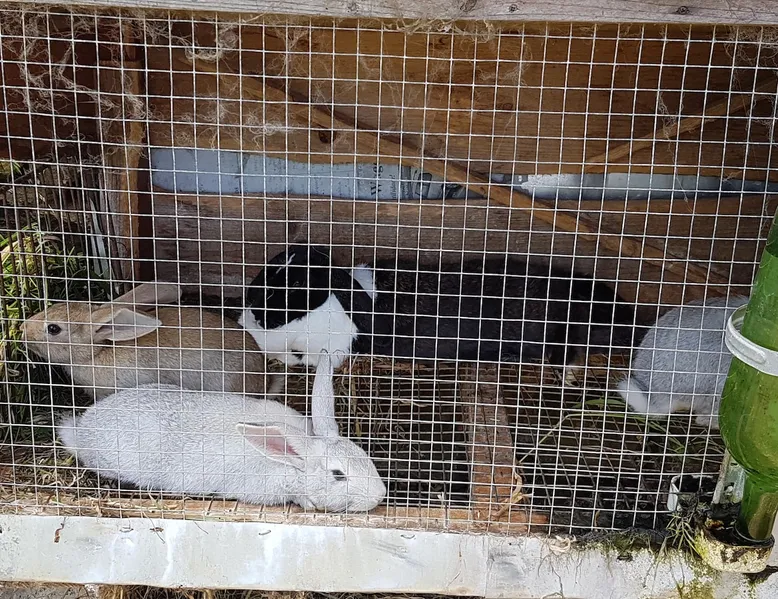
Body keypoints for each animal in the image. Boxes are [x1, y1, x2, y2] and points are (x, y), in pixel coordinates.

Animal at [56, 383, 387, 512]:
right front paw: (309, 503)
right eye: (338, 474)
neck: (289, 462)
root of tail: (82, 428)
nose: (379, 496)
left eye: (364, 455)